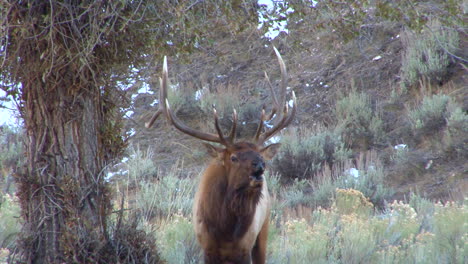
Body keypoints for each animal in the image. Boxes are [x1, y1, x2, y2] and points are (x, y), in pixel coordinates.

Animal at [146, 48, 296, 264]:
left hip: (264, 227)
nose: (260, 166)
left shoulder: (244, 247)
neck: (225, 231)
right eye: (233, 158)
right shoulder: (207, 247)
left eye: (260, 154)